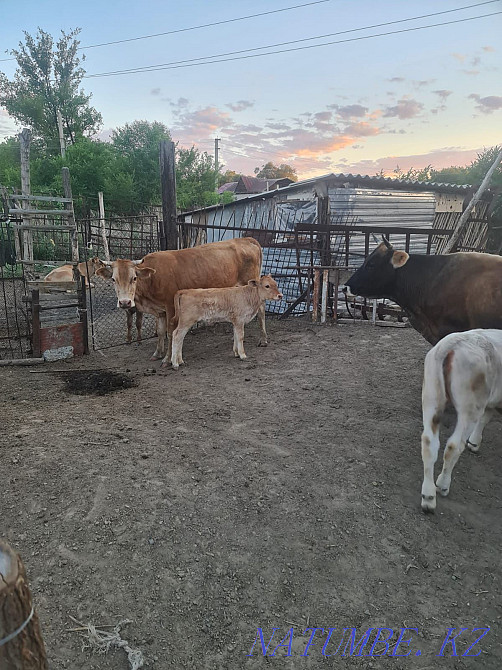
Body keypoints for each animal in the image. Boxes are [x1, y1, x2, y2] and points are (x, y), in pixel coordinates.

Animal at [95, 237, 266, 366]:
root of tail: (245, 239)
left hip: (252, 286)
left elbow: (170, 332)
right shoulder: (160, 311)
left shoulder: (171, 306)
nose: (124, 302)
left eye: (134, 278)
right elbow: (160, 332)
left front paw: (167, 359)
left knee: (262, 310)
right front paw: (157, 353)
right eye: (113, 279)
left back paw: (263, 339)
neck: (152, 279)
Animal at [420, 329, 502, 513]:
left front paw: (475, 442)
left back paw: (428, 496)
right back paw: (442, 485)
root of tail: (452, 343)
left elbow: (486, 417)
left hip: (431, 395)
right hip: (471, 405)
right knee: (453, 446)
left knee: (429, 443)